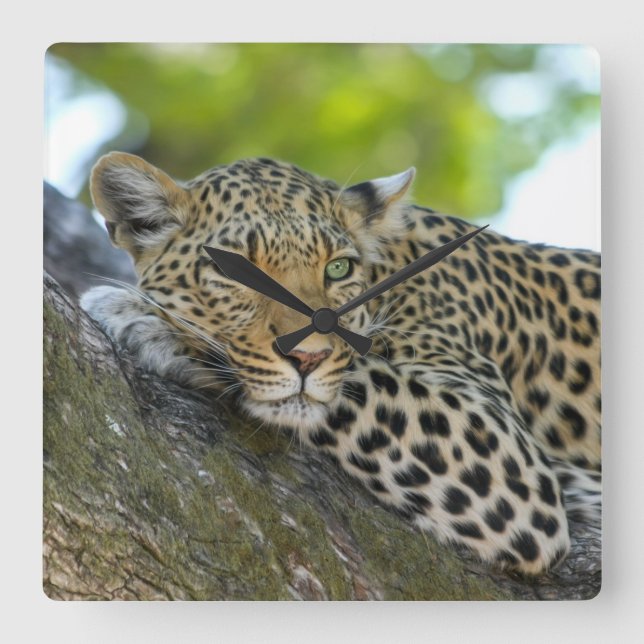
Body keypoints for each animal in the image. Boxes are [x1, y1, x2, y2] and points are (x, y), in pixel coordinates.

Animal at [81, 152, 601, 575]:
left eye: (338, 269)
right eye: (234, 271)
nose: (307, 357)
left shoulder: (507, 456)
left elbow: (355, 376)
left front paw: (145, 319)